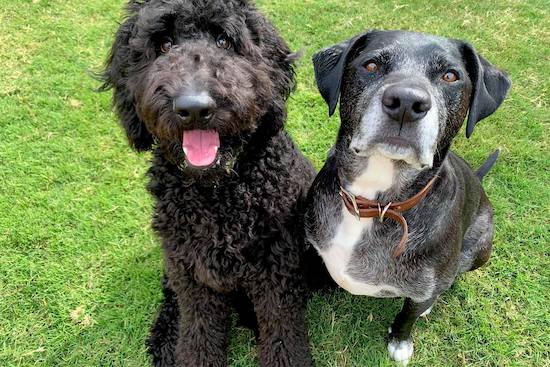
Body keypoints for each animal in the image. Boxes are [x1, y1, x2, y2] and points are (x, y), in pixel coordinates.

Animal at [101, 0, 322, 367]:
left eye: (224, 41)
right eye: (164, 45)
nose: (193, 108)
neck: (217, 194)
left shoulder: (277, 268)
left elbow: (281, 328)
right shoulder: (192, 272)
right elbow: (199, 331)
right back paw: (165, 339)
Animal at [304, 30, 512, 366]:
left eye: (450, 75)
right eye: (371, 65)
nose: (406, 101)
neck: (376, 203)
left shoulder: (422, 288)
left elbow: (409, 313)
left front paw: (399, 343)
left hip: (480, 248)